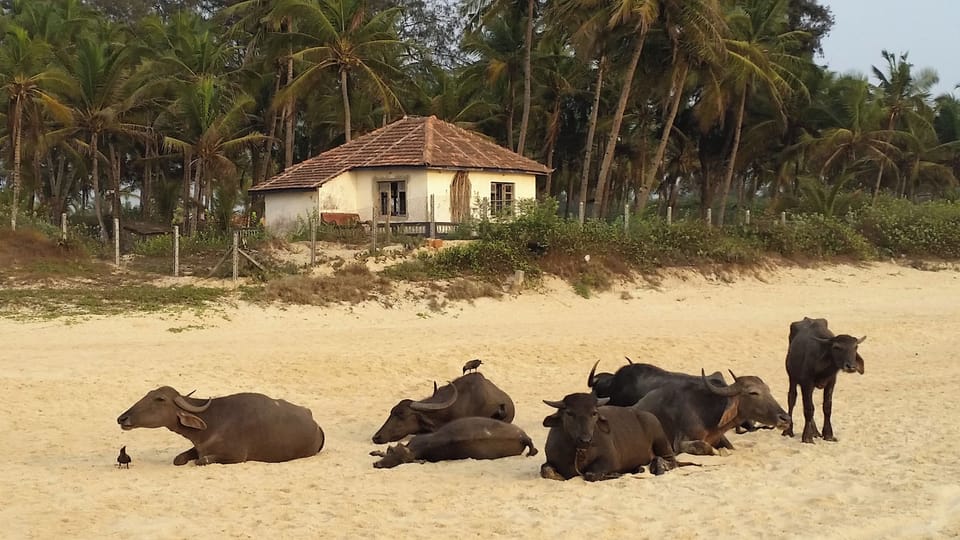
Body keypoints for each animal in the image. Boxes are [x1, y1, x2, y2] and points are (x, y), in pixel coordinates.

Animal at [116, 386, 325, 466]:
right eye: (148, 394)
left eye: (159, 399)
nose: (122, 418)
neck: (213, 421)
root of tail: (315, 423)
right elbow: (179, 459)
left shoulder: (235, 457)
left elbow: (200, 461)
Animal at [539, 393, 689, 481]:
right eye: (569, 413)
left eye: (594, 413)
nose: (586, 440)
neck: (578, 452)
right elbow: (546, 471)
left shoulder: (610, 460)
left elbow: (591, 475)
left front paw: (615, 474)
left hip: (661, 441)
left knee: (671, 461)